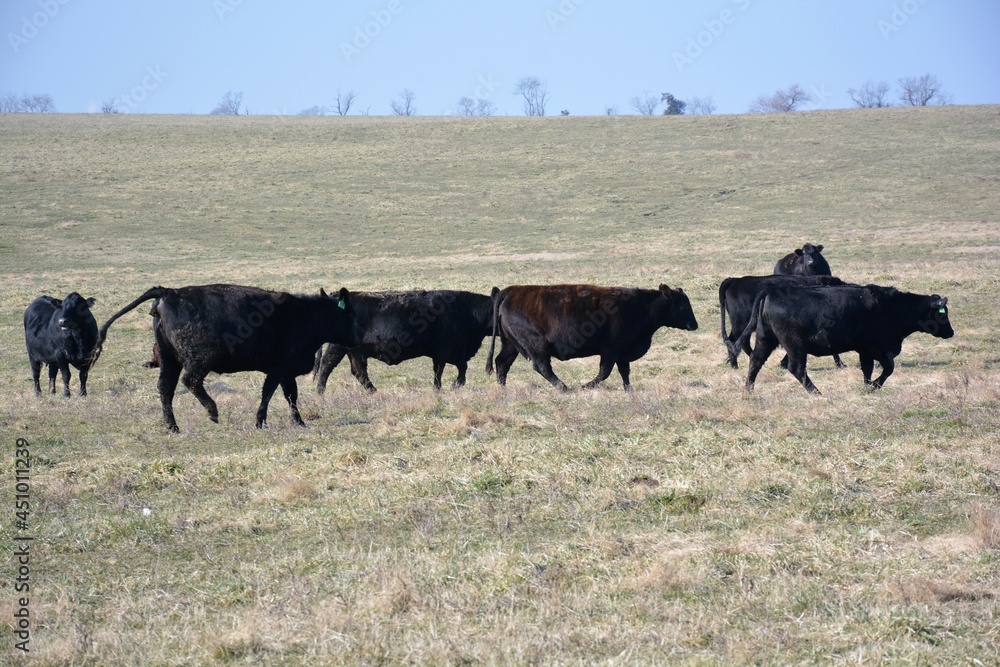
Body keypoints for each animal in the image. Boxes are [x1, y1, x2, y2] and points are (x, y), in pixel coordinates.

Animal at [94, 284, 360, 434]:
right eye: (348, 314)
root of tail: (169, 293)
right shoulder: (279, 368)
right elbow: (269, 393)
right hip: (200, 358)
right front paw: (260, 422)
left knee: (165, 388)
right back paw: (212, 411)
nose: (356, 337)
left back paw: (172, 426)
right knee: (190, 381)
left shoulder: (286, 370)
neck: (305, 313)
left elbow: (291, 396)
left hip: (169, 358)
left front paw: (299, 422)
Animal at [316, 290, 496, 394]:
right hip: (340, 348)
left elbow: (461, 368)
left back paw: (373, 391)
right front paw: (440, 389)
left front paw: (453, 385)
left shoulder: (453, 353)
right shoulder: (443, 351)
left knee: (357, 371)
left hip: (352, 351)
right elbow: (440, 371)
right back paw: (320, 392)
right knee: (328, 365)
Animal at [484, 284, 696, 392]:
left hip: (510, 344)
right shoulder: (611, 350)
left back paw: (503, 390)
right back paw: (564, 388)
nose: (694, 324)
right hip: (536, 346)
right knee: (542, 366)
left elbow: (624, 372)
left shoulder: (622, 352)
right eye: (683, 304)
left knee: (502, 363)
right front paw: (585, 386)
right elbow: (604, 372)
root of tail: (510, 291)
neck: (640, 305)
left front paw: (629, 389)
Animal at [736, 284, 952, 396]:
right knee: (796, 368)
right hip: (794, 346)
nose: (951, 332)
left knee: (755, 361)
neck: (891, 307)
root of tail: (771, 291)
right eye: (942, 313)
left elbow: (867, 369)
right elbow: (889, 368)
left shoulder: (865, 350)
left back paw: (749, 389)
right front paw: (875, 385)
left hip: (765, 339)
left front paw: (867, 385)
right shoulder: (878, 348)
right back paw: (816, 392)